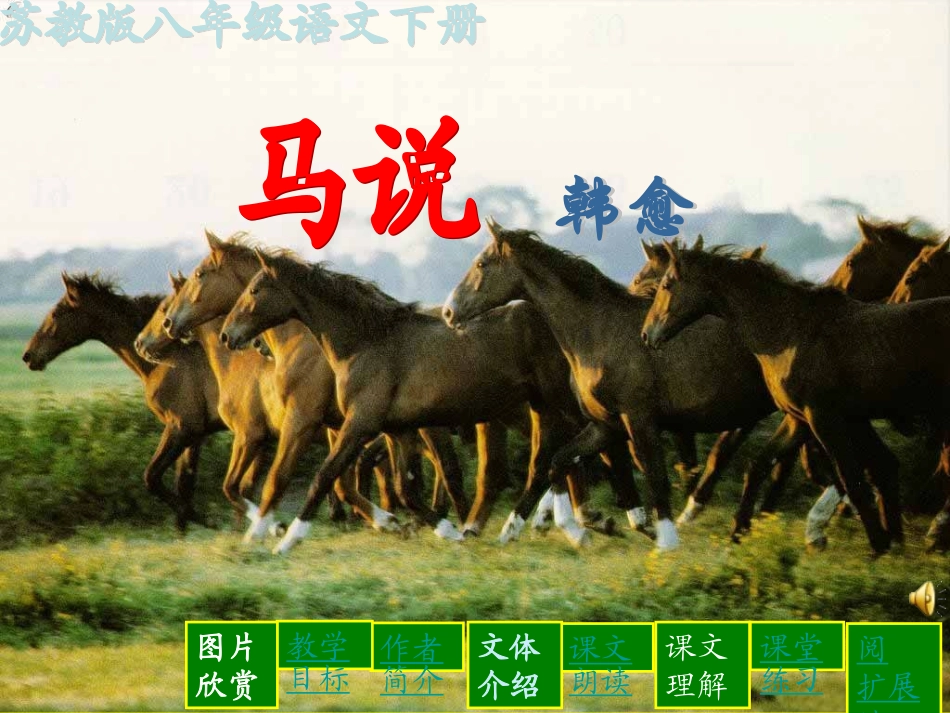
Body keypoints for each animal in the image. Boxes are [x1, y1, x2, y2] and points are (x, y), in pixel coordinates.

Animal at [22, 272, 223, 531]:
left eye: (57, 313)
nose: (29, 356)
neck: (166, 360)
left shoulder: (183, 428)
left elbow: (152, 478)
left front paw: (206, 519)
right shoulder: (194, 436)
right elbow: (184, 484)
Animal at [443, 219, 779, 550]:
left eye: (481, 263)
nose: (448, 312)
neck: (599, 331)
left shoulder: (639, 419)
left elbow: (653, 474)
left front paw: (664, 540)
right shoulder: (606, 424)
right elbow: (561, 462)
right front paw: (518, 530)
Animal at [641, 242, 950, 554]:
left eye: (666, 284)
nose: (646, 335)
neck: (789, 333)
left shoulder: (823, 418)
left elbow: (851, 479)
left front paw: (878, 547)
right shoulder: (799, 418)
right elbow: (759, 466)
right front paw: (736, 535)